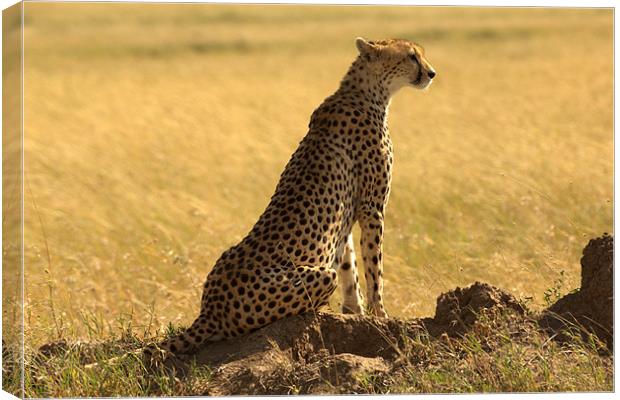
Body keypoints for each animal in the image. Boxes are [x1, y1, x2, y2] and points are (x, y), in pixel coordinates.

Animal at [148, 36, 436, 356]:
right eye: (411, 56)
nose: (431, 73)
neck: (367, 91)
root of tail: (211, 309)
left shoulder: (347, 217)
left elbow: (349, 266)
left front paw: (355, 313)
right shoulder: (372, 208)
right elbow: (374, 267)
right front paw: (381, 315)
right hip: (318, 276)